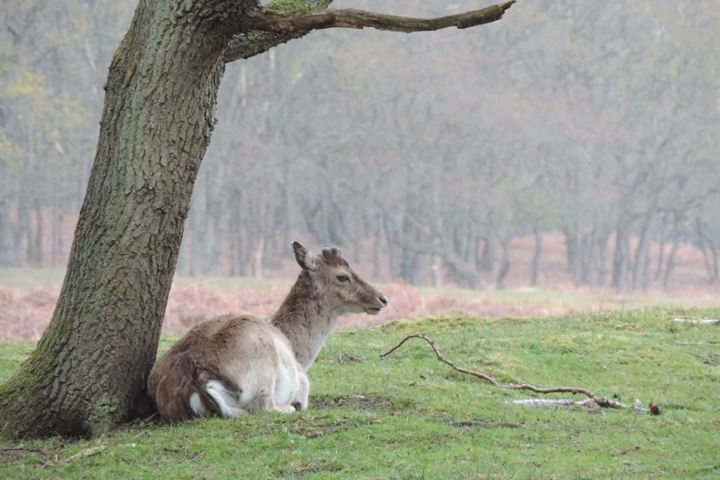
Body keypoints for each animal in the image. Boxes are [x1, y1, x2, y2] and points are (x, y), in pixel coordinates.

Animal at [146, 242, 388, 422]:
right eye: (342, 276)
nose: (382, 299)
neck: (298, 351)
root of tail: (197, 380)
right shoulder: (303, 383)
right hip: (262, 368)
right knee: (263, 406)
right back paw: (288, 407)